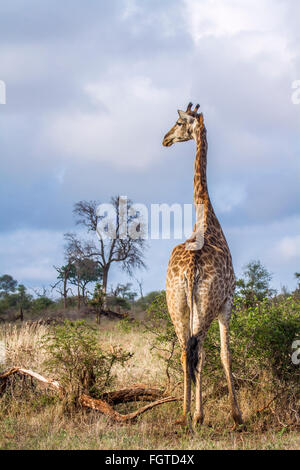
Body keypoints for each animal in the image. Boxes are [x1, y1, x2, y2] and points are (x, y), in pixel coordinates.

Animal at [162, 103, 244, 430]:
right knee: (197, 351)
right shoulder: (228, 300)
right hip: (206, 305)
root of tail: (190, 270)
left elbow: (207, 355)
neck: (206, 216)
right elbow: (224, 354)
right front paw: (236, 415)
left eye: (177, 123)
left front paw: (198, 412)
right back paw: (195, 415)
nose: (165, 139)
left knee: (186, 351)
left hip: (176, 304)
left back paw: (183, 415)